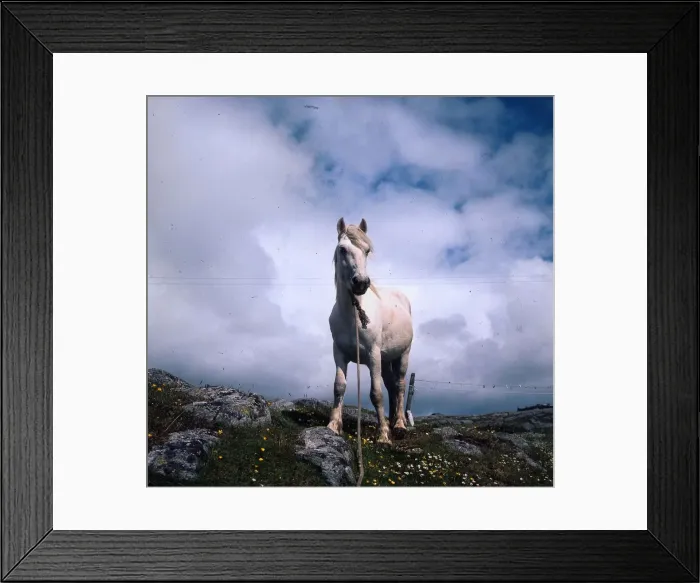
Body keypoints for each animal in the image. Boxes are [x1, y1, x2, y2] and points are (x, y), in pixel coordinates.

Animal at [327, 217, 414, 444]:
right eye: (342, 249)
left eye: (366, 251)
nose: (361, 283)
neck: (353, 317)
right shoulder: (339, 353)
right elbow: (339, 386)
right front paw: (333, 426)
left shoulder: (373, 355)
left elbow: (376, 393)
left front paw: (383, 435)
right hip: (385, 361)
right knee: (392, 386)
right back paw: (392, 421)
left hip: (402, 355)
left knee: (400, 385)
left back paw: (399, 424)